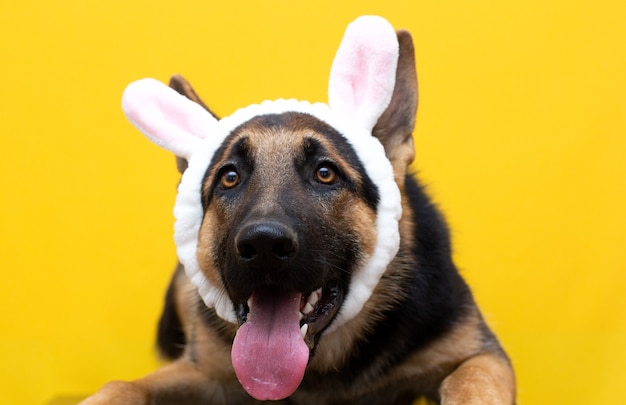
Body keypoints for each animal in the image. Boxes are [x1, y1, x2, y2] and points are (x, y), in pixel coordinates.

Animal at [80, 15, 516, 404]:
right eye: (229, 178)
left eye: (325, 173)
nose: (263, 246)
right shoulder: (204, 371)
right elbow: (122, 385)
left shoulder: (481, 355)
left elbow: (472, 382)